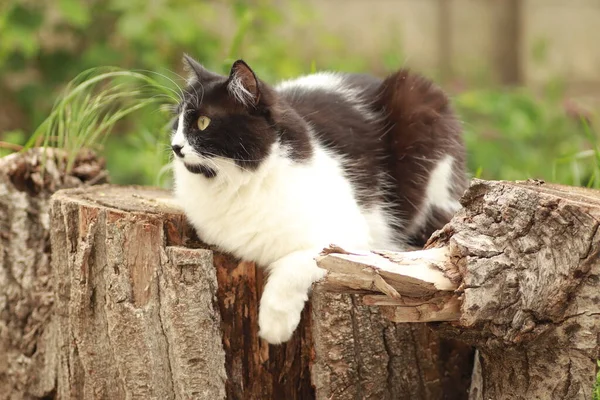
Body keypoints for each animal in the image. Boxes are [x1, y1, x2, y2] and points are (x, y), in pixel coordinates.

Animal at [171, 55, 466, 344]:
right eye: (177, 124)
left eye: (203, 123)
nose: (175, 146)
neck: (236, 186)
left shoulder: (351, 238)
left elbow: (298, 263)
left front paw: (274, 326)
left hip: (418, 98)